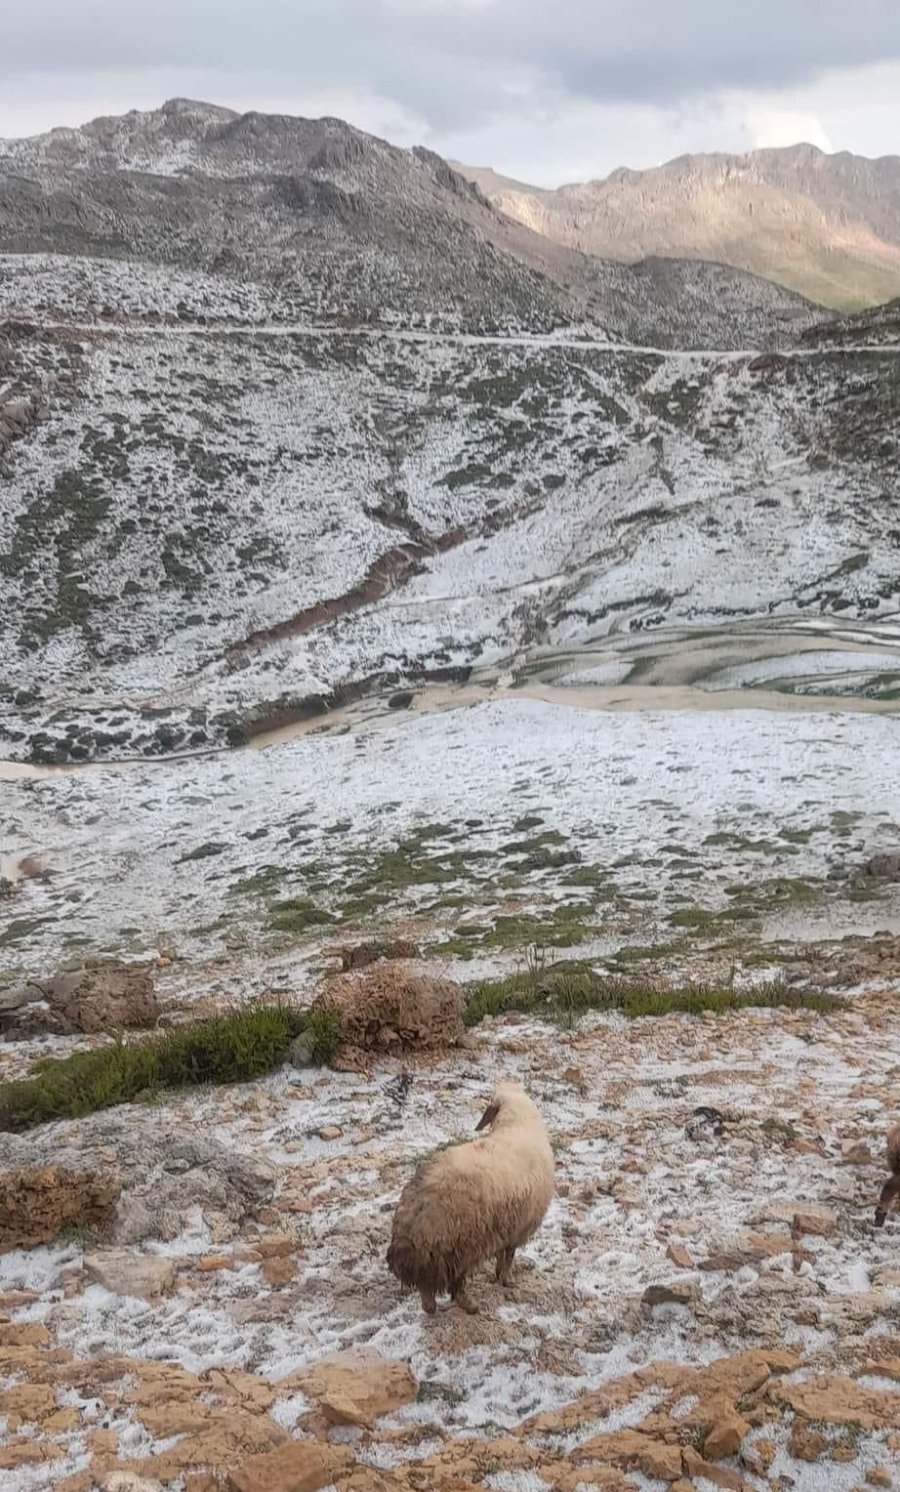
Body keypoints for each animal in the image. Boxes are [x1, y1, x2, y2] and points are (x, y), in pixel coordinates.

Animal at [385, 1080, 552, 1312]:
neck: (516, 1124)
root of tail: (415, 1213)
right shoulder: (519, 1227)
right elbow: (509, 1256)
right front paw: (508, 1280)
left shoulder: (505, 1225)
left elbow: (501, 1254)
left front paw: (498, 1275)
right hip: (459, 1246)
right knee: (452, 1282)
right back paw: (468, 1305)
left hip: (436, 1252)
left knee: (426, 1287)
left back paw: (436, 1306)